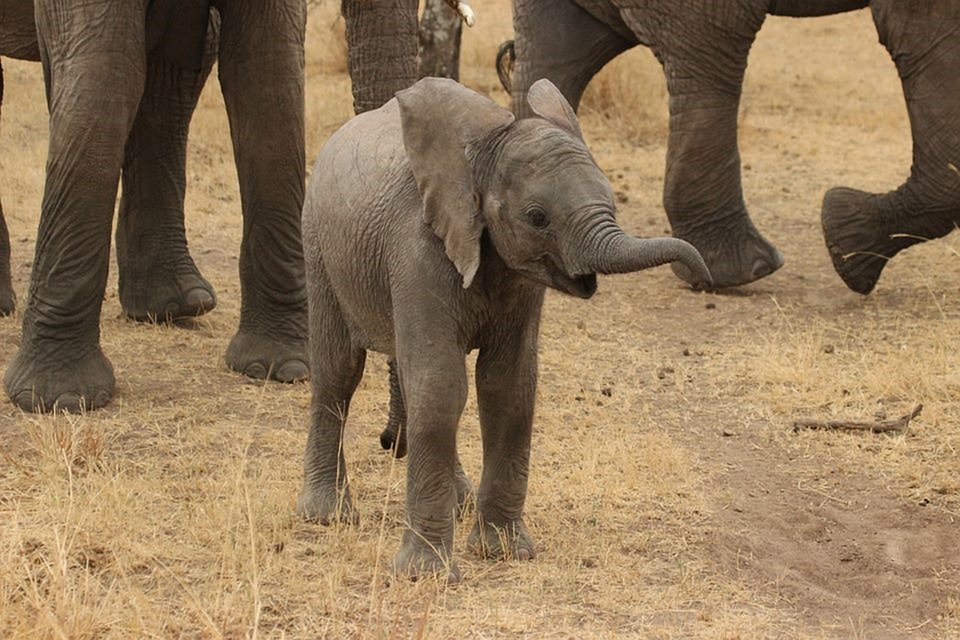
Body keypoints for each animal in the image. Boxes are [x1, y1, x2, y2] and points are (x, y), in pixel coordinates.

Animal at [300, 77, 712, 584]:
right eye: (537, 217)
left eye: (613, 200)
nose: (701, 275)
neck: (482, 157)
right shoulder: (417, 250)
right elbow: (441, 386)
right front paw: (425, 576)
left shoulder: (520, 280)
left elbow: (507, 388)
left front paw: (505, 553)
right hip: (319, 246)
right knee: (339, 372)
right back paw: (326, 516)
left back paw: (459, 504)